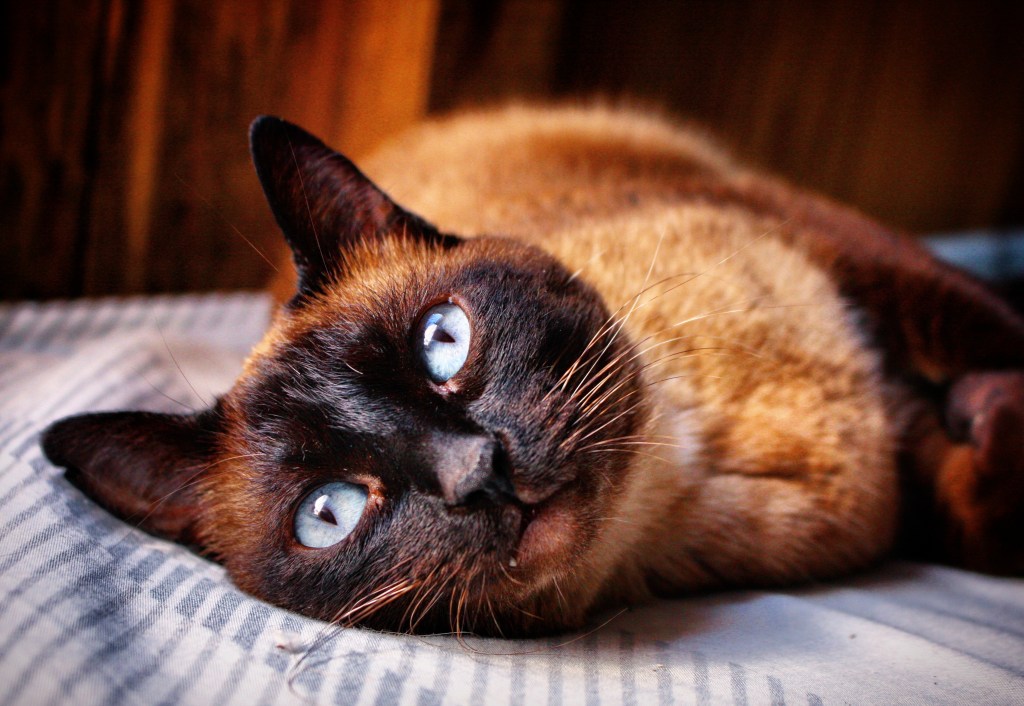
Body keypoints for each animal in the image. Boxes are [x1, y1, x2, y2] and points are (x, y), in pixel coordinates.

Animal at [39, 106, 1024, 639]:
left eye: (443, 342)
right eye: (329, 514)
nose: (478, 475)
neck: (688, 459)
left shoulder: (854, 259)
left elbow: (996, 341)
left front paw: (985, 404)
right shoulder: (902, 482)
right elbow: (980, 508)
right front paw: (980, 424)